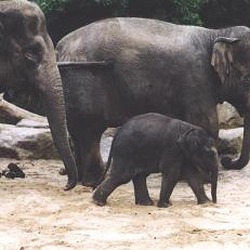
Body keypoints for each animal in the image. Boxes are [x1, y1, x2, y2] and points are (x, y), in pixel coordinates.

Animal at [55, 17, 250, 188]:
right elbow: (206, 124)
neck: (216, 33)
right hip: (84, 81)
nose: (227, 160)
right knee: (90, 130)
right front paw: (203, 179)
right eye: (247, 81)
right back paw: (92, 182)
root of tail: (59, 48)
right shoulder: (196, 79)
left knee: (79, 131)